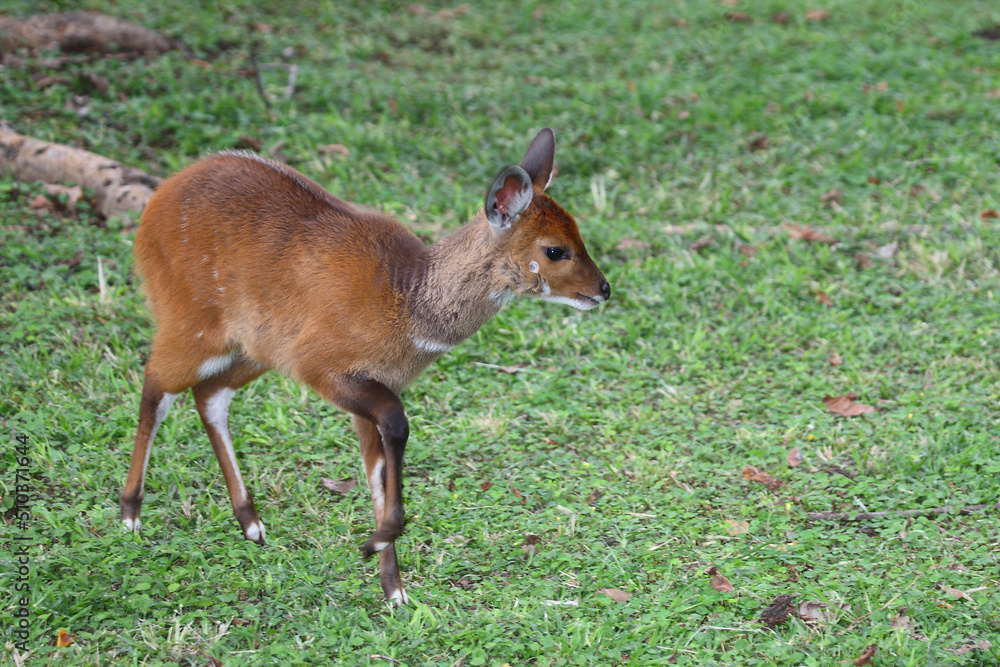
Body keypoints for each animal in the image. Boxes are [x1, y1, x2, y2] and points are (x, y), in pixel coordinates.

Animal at [123, 130, 608, 604]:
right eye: (555, 250)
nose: (604, 289)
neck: (406, 297)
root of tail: (157, 201)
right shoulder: (325, 369)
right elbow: (396, 425)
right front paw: (376, 545)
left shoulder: (366, 386)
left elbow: (376, 470)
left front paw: (394, 590)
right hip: (192, 327)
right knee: (156, 385)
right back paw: (130, 515)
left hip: (254, 351)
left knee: (209, 394)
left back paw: (252, 524)